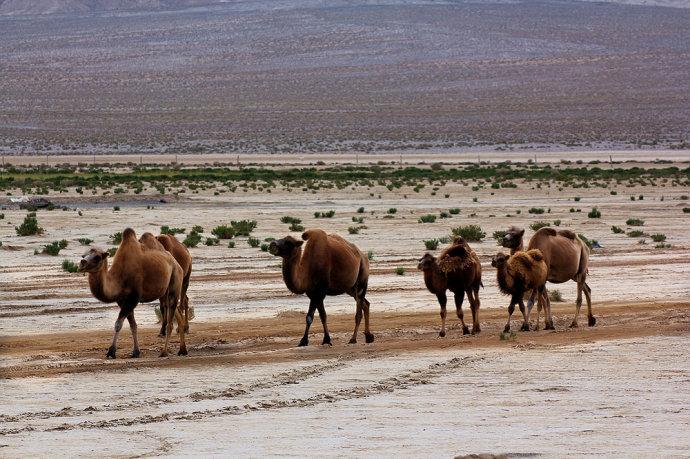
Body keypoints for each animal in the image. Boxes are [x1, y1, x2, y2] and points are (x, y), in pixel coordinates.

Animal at [79, 229, 185, 360]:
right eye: (83, 255)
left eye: (97, 257)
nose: (82, 262)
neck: (119, 277)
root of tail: (175, 262)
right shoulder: (122, 300)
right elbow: (133, 325)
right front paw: (135, 352)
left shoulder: (134, 297)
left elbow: (118, 324)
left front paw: (111, 352)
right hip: (164, 292)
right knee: (177, 312)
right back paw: (182, 350)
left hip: (175, 281)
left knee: (170, 322)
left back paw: (164, 352)